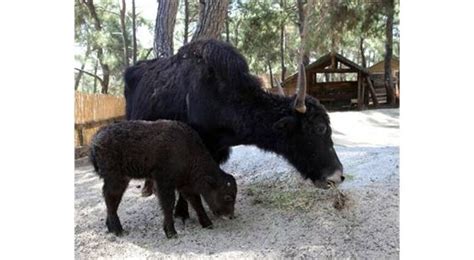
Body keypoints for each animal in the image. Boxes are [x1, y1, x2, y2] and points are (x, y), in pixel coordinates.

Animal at [89, 120, 237, 238]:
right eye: (228, 197)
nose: (230, 216)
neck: (187, 150)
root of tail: (96, 137)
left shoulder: (185, 185)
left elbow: (196, 202)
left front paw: (207, 223)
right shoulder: (164, 183)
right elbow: (168, 204)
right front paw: (171, 232)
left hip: (121, 179)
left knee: (112, 200)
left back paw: (111, 227)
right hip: (116, 178)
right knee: (111, 199)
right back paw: (117, 230)